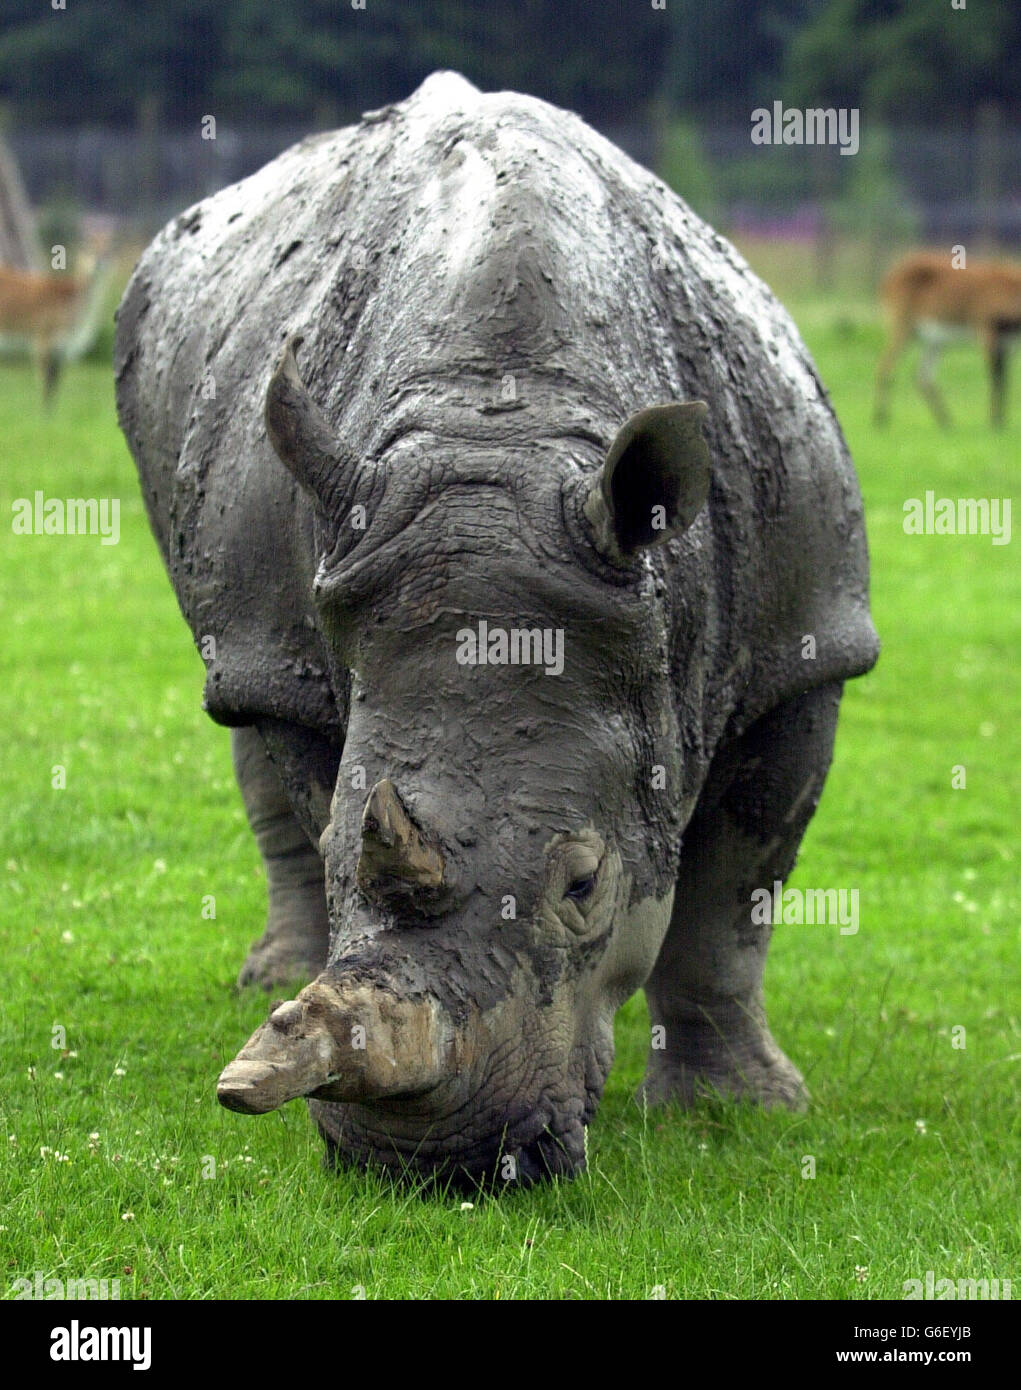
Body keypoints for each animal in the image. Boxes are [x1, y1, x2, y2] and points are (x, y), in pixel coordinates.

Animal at [113, 73, 877, 1184]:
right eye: (349, 848)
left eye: (585, 883)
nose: (431, 1163)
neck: (502, 425)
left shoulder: (806, 649)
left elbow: (735, 890)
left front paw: (741, 1108)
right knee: (250, 690)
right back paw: (271, 979)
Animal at [872, 252, 1021, 428]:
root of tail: (890, 275)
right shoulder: (988, 335)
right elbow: (996, 380)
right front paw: (995, 423)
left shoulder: (1008, 345)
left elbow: (1004, 381)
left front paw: (1000, 422)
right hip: (903, 328)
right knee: (885, 366)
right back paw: (880, 420)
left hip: (933, 342)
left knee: (923, 377)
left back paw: (946, 422)